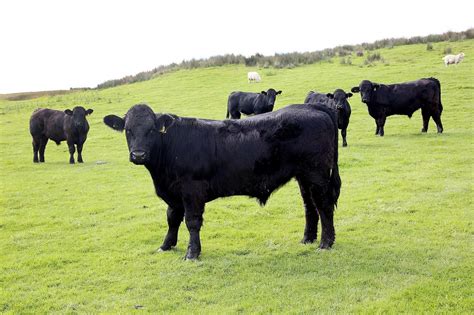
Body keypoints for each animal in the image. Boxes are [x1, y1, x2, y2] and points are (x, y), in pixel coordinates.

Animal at [103, 103, 340, 260]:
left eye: (151, 129)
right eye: (128, 130)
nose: (138, 155)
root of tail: (312, 107)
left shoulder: (192, 191)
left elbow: (191, 222)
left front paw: (192, 253)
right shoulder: (174, 194)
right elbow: (172, 218)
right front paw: (166, 245)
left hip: (317, 173)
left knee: (324, 205)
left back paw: (325, 243)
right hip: (303, 176)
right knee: (310, 205)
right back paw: (307, 239)